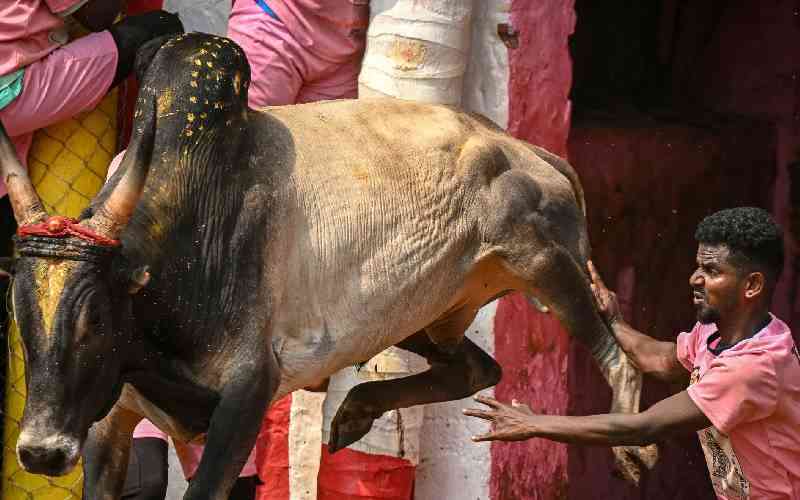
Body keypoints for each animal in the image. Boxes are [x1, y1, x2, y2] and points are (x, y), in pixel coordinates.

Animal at [1, 32, 655, 500]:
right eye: (23, 319)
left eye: (94, 321)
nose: (40, 452)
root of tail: (528, 150)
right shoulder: (110, 420)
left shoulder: (247, 393)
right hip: (423, 315)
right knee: (477, 368)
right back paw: (355, 414)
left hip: (545, 262)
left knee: (616, 359)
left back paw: (634, 447)